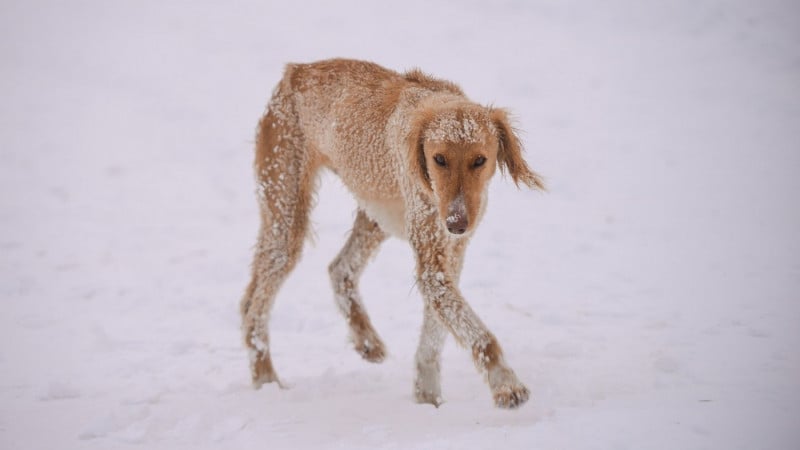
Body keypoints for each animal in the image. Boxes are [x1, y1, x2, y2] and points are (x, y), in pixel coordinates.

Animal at [241, 59, 548, 408]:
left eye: (480, 160)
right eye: (439, 159)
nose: (456, 224)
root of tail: (296, 71)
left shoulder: (448, 260)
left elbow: (434, 335)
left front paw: (427, 396)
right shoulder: (433, 267)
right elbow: (479, 335)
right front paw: (505, 384)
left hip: (376, 215)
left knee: (339, 269)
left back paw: (366, 341)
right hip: (286, 219)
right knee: (254, 309)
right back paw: (265, 377)